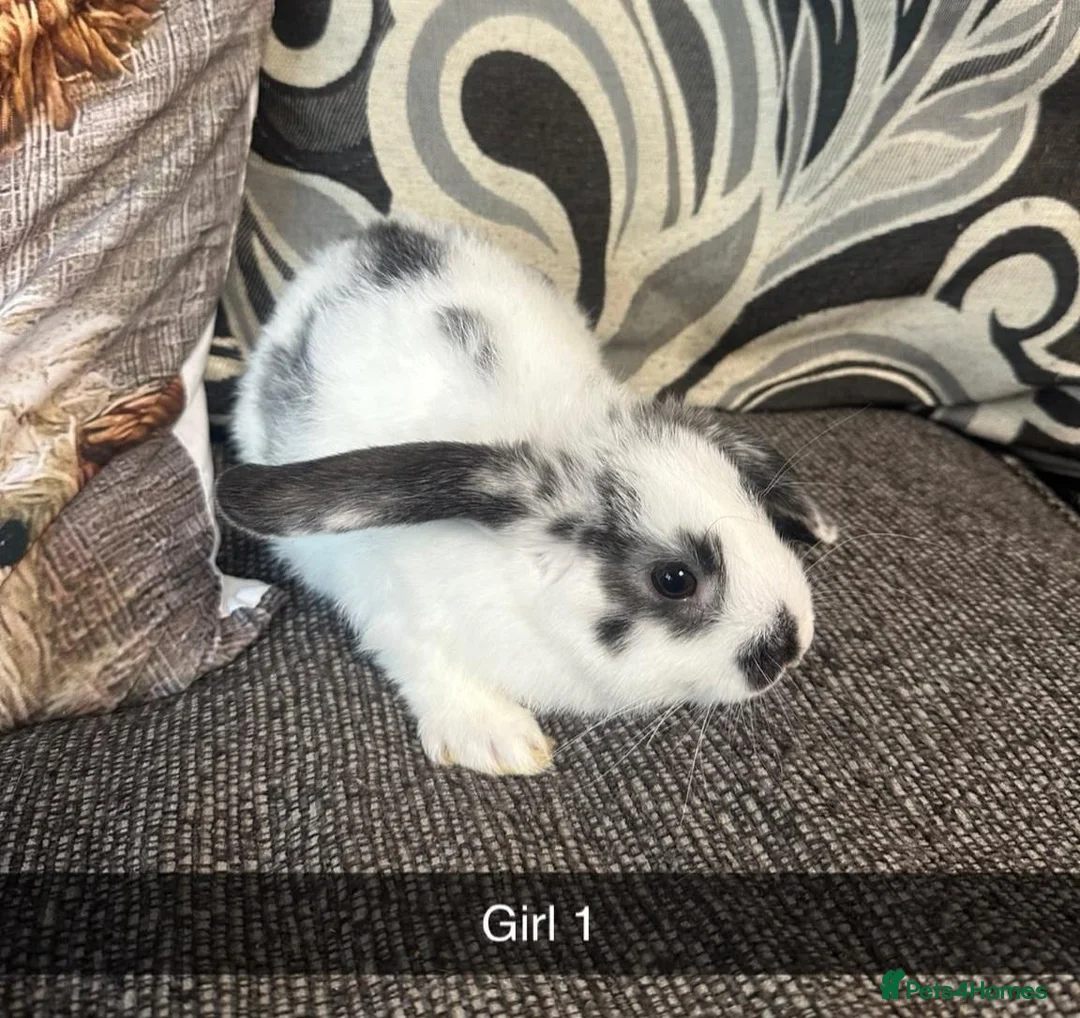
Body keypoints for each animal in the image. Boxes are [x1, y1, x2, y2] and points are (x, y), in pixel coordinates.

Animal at [217, 215, 836, 776]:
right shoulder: (394, 614)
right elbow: (426, 662)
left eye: (754, 502)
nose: (793, 645)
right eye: (674, 579)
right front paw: (500, 742)